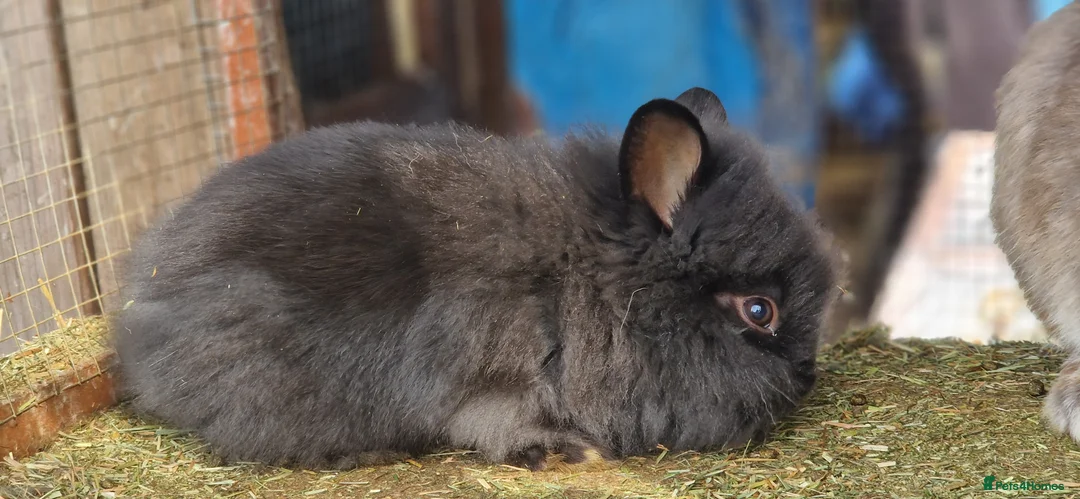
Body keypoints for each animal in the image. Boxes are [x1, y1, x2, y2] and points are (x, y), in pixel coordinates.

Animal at [112, 86, 839, 471]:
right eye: (759, 311)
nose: (807, 376)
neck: (581, 277)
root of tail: (143, 315)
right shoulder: (494, 377)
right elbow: (496, 421)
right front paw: (565, 453)